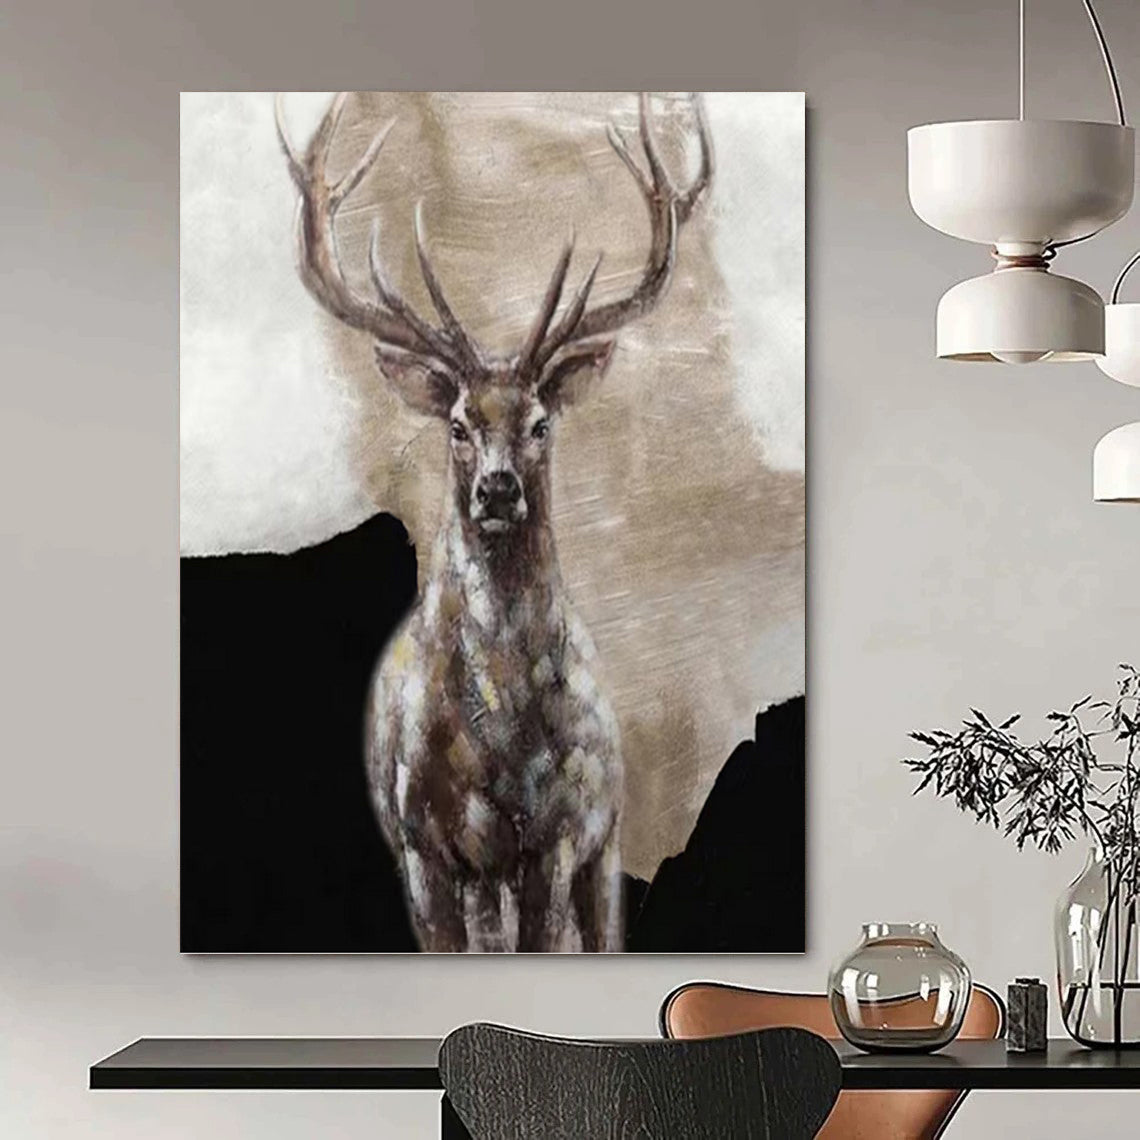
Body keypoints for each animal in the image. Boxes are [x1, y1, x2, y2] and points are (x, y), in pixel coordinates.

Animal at [275, 91, 713, 951]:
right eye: (456, 424)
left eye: (540, 423)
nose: (499, 489)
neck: (496, 745)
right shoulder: (420, 846)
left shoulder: (560, 838)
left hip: (605, 841)